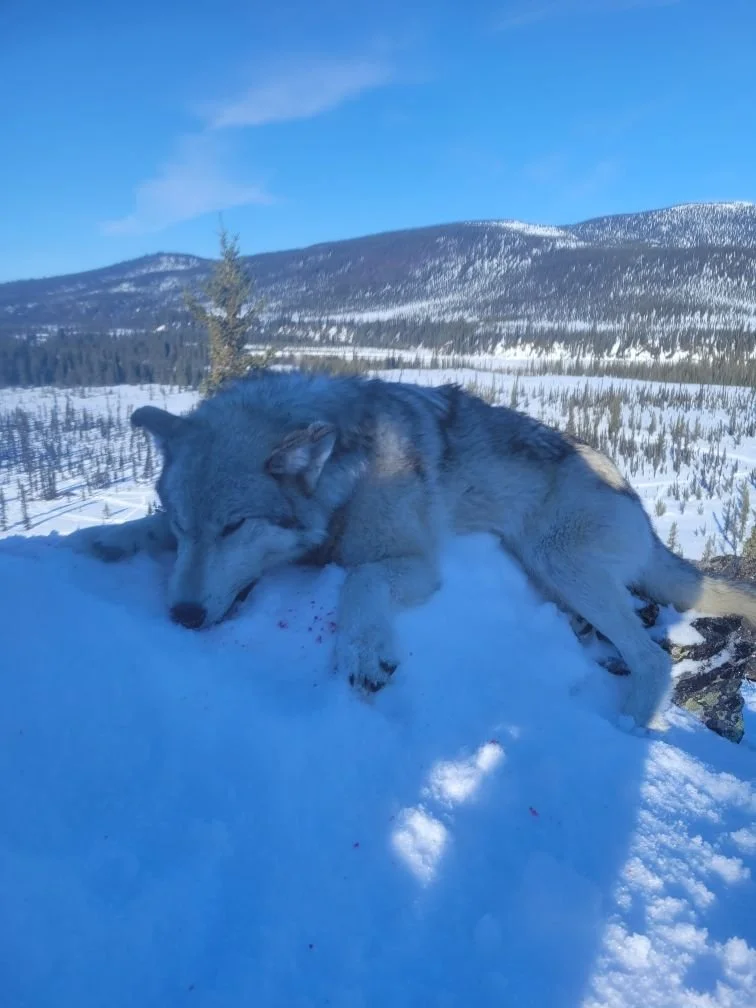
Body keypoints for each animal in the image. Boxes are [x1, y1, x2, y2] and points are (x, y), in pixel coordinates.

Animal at [68, 370, 756, 727]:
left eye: (235, 527)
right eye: (187, 526)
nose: (181, 617)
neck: (347, 475)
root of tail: (631, 491)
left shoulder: (413, 565)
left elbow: (361, 582)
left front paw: (362, 652)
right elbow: (143, 532)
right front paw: (101, 537)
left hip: (560, 559)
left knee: (651, 657)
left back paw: (628, 722)